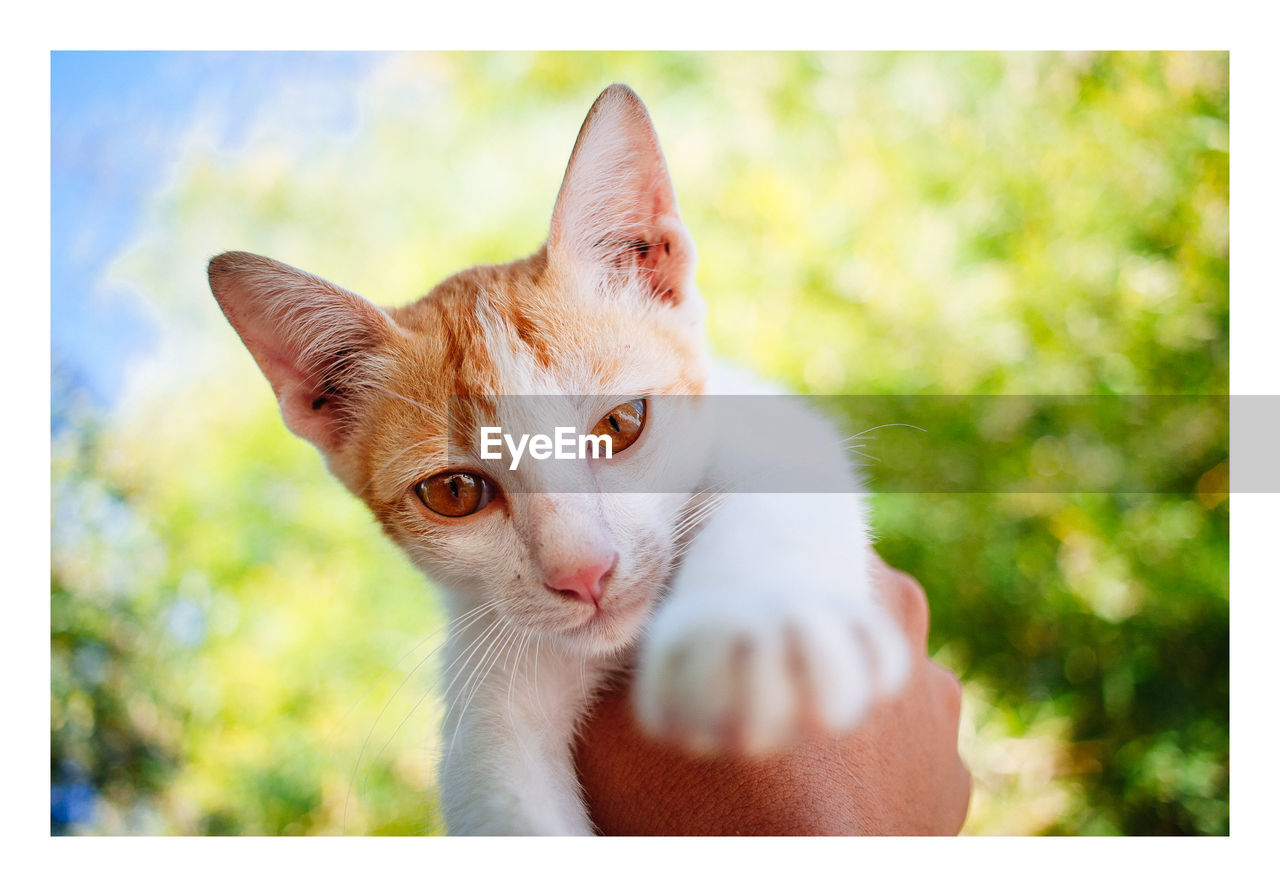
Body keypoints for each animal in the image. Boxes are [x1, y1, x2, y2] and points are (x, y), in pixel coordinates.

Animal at [207, 86, 911, 834]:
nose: (583, 572)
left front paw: (756, 637)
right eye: (454, 491)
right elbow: (502, 793)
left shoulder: (770, 417)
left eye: (620, 424)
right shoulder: (489, 701)